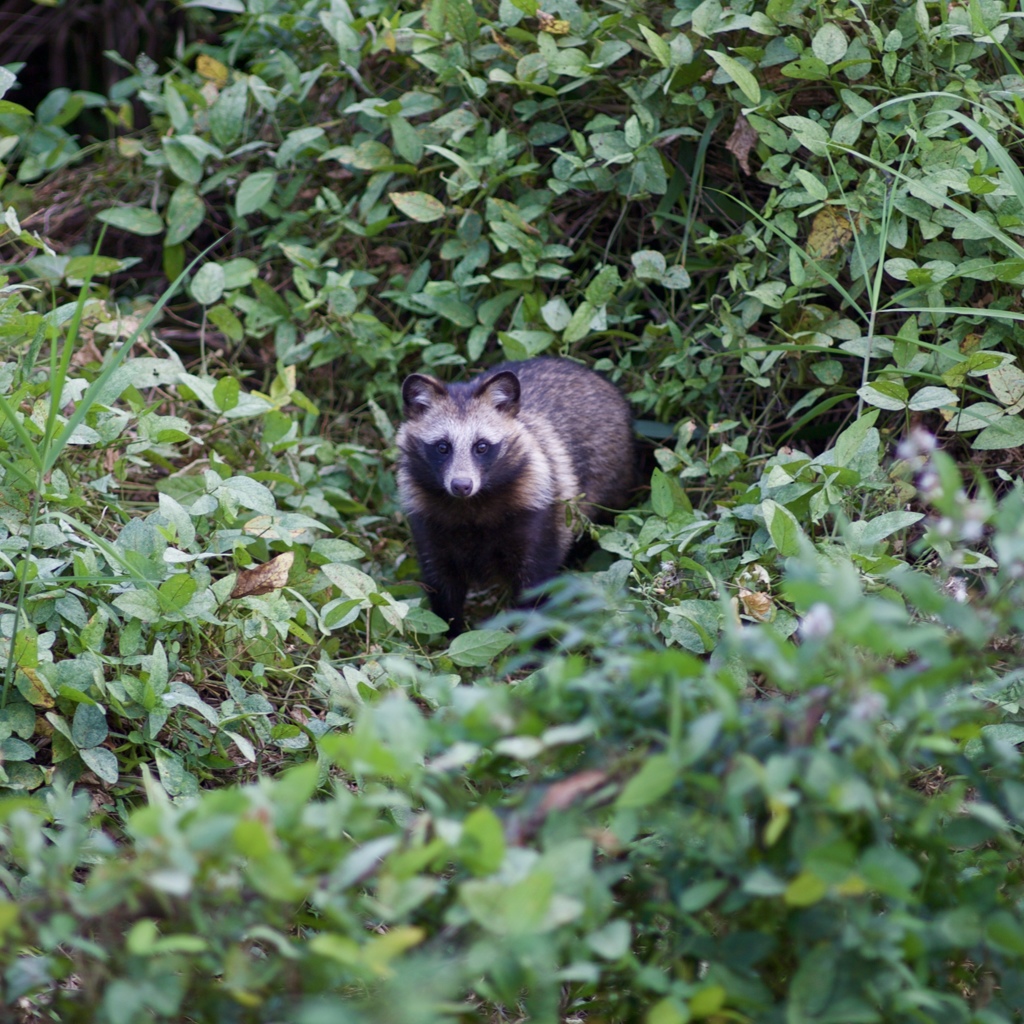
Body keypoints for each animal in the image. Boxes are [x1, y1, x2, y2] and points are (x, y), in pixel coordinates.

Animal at [397, 356, 630, 634]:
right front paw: (452, 635)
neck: (471, 506)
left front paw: (535, 641)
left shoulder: (536, 511)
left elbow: (535, 586)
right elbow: (442, 587)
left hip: (611, 474)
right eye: (442, 447)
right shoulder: (428, 521)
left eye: (481, 446)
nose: (462, 485)